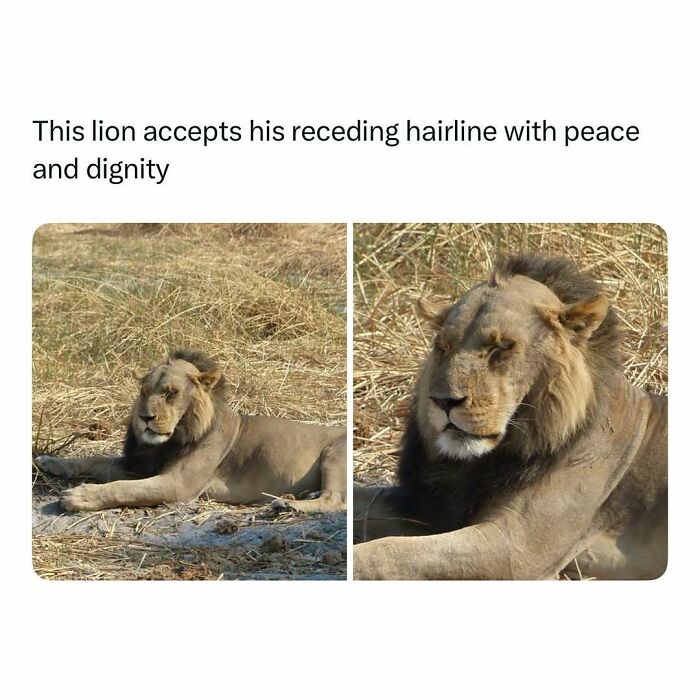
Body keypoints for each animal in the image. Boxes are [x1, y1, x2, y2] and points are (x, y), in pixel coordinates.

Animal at [36, 349, 346, 513]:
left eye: (170, 393)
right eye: (144, 391)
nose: (145, 417)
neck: (170, 440)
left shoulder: (178, 484)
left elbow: (122, 488)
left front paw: (79, 497)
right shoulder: (141, 466)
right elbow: (94, 461)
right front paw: (50, 462)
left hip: (334, 454)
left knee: (336, 500)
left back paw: (288, 505)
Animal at [354, 255, 667, 580]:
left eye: (500, 347)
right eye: (443, 347)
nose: (444, 401)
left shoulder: (518, 548)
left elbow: (386, 552)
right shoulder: (427, 506)